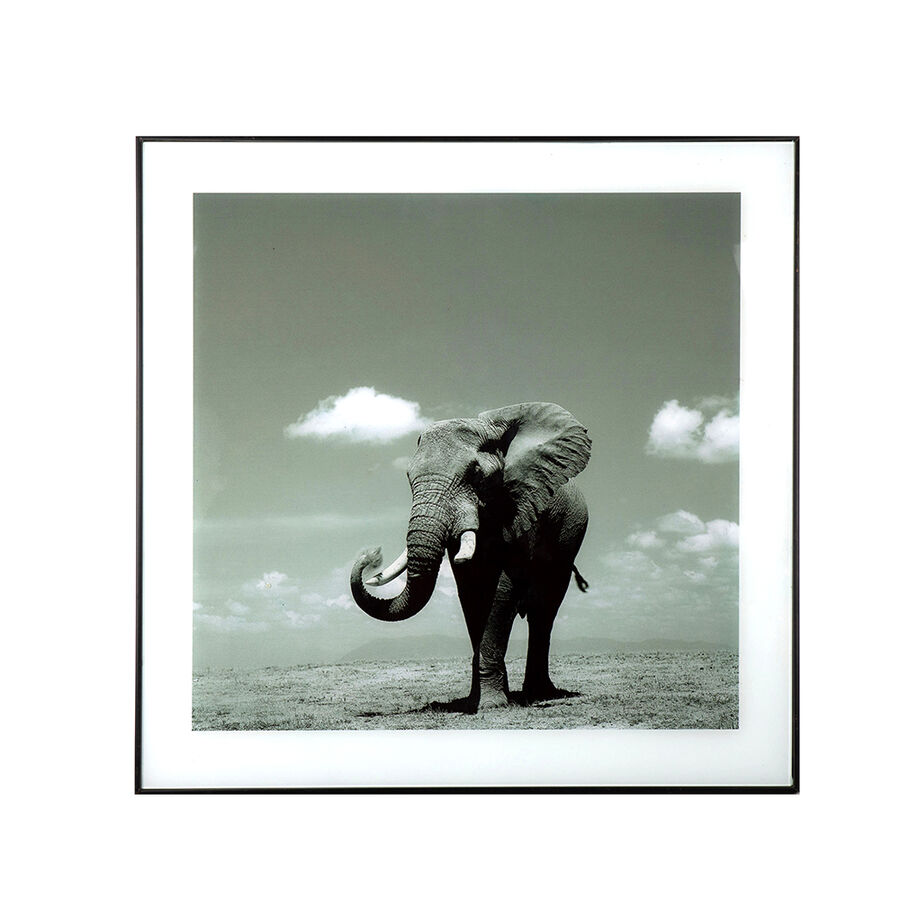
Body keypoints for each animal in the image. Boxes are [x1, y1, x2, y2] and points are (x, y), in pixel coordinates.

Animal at [350, 401, 591, 712]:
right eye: (408, 477)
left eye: (476, 475)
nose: (371, 555)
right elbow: (471, 591)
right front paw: (475, 702)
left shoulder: (520, 508)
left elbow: (500, 591)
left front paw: (491, 705)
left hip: (571, 534)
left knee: (544, 608)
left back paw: (539, 694)